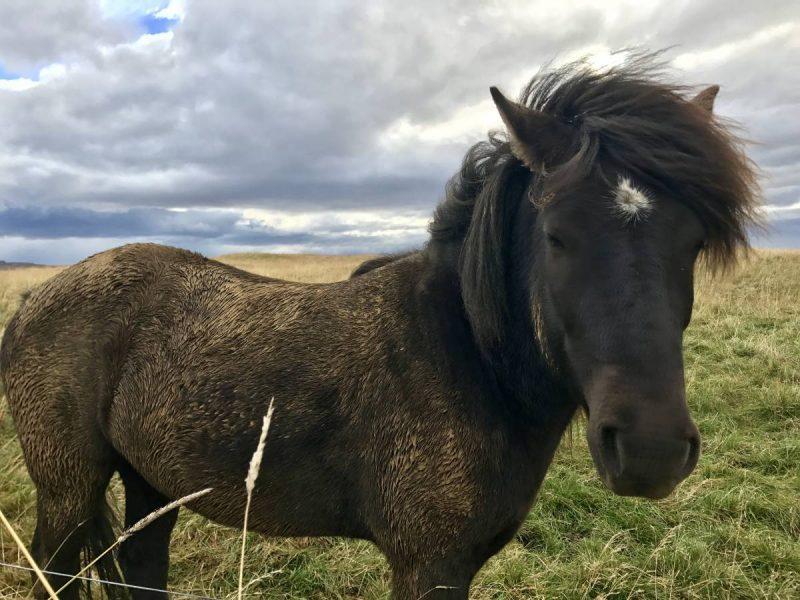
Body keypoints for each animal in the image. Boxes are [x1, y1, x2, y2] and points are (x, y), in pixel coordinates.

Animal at [3, 57, 760, 600]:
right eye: (557, 234)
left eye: (693, 240)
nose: (651, 450)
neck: (466, 356)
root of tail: (39, 295)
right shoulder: (428, 564)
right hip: (68, 489)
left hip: (150, 484)